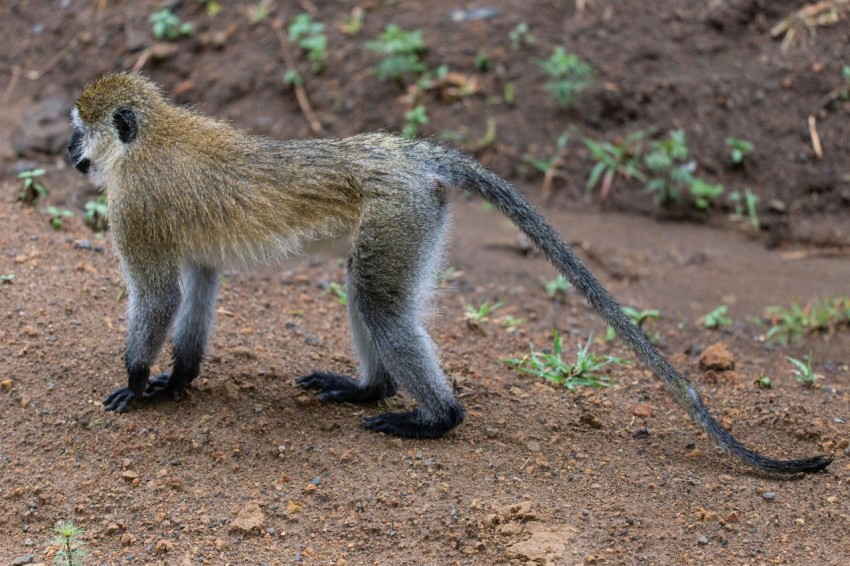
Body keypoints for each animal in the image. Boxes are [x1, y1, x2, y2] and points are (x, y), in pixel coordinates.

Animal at [66, 73, 828, 478]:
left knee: (377, 301)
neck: (147, 138)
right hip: (415, 217)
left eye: (80, 127)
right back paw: (369, 388)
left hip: (398, 213)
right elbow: (197, 285)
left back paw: (436, 419)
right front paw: (179, 379)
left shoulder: (133, 208)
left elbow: (158, 293)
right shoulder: (178, 234)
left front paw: (138, 381)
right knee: (370, 292)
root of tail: (406, 154)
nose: (67, 150)